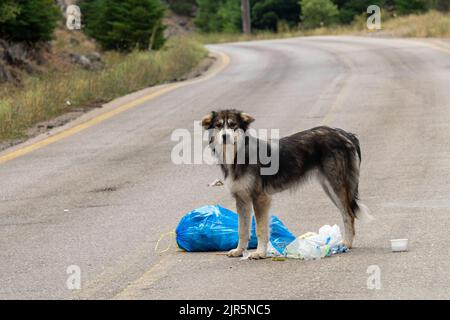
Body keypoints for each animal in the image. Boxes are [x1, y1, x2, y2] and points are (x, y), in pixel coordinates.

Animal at [202, 109, 370, 258]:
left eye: (233, 125)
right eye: (218, 126)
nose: (225, 137)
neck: (239, 154)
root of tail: (344, 134)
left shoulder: (259, 197)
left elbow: (260, 229)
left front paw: (259, 253)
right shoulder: (242, 199)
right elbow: (242, 229)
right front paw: (238, 251)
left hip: (336, 185)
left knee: (348, 214)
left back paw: (346, 243)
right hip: (329, 187)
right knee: (346, 213)